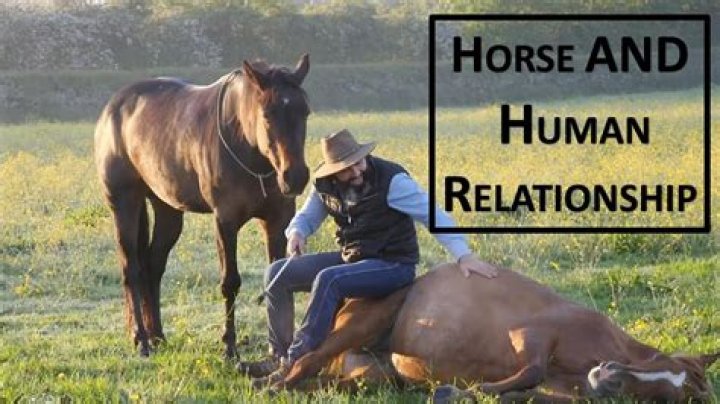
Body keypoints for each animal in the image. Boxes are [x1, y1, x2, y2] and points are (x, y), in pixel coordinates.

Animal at [94, 55, 311, 358]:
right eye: (268, 114)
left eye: (305, 112)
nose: (296, 177)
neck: (243, 143)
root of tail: (113, 106)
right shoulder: (225, 221)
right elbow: (230, 282)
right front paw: (229, 347)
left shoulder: (278, 219)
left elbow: (277, 277)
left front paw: (278, 349)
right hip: (124, 203)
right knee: (131, 269)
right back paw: (141, 340)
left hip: (167, 210)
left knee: (152, 266)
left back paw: (157, 335)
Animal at [273, 263, 718, 402]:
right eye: (659, 360)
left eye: (670, 395)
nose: (608, 375)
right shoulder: (532, 332)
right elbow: (531, 369)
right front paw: (460, 390)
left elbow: (524, 391)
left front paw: (463, 392)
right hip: (358, 327)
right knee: (303, 361)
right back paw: (270, 385)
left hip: (373, 376)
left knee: (325, 380)